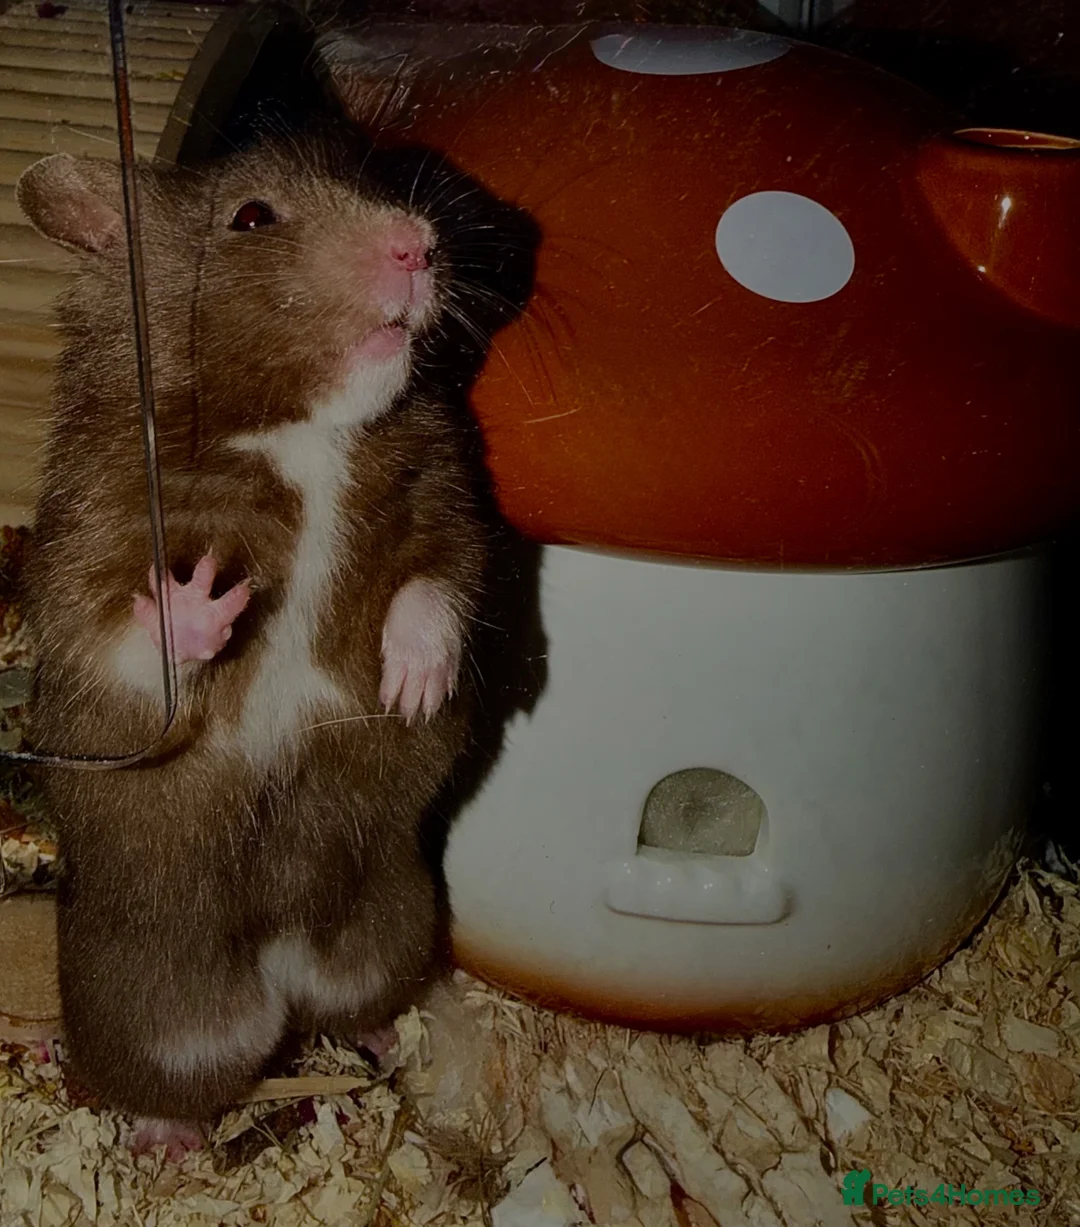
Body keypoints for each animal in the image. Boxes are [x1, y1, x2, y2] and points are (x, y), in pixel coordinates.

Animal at [16, 128, 489, 1159]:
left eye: (365, 178)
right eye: (252, 217)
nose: (421, 243)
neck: (300, 429)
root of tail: (278, 966)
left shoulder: (445, 499)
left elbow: (438, 583)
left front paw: (413, 689)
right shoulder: (89, 547)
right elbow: (129, 632)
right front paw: (203, 602)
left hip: (390, 920)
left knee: (356, 999)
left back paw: (384, 1035)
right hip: (157, 1001)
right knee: (178, 1070)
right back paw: (166, 1144)